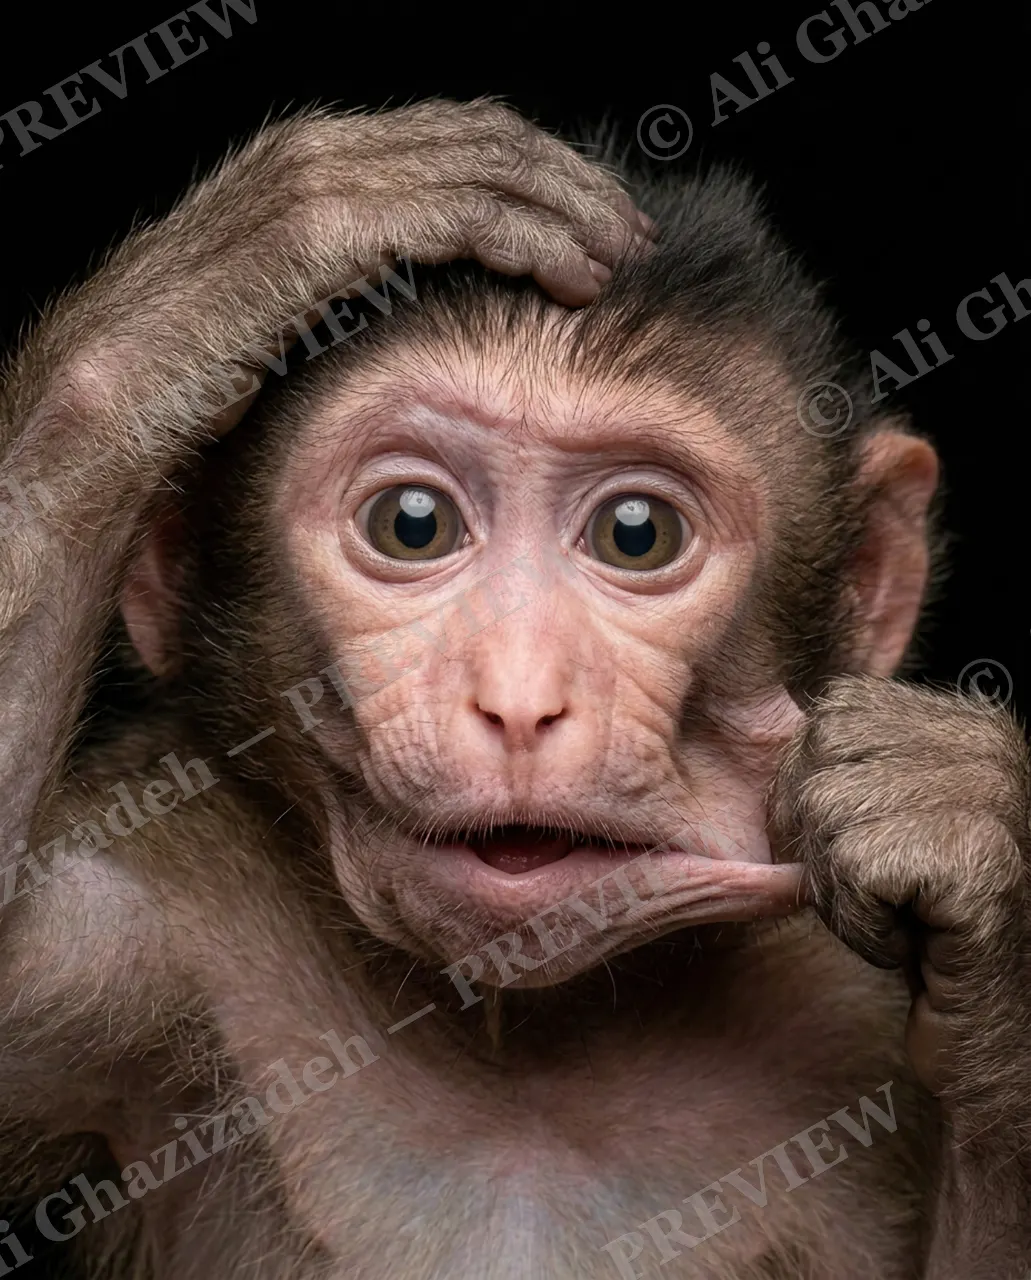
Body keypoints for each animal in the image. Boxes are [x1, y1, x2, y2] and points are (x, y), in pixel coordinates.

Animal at [0, 97, 1027, 1280]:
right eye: (413, 523)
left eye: (637, 533)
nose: (520, 700)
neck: (525, 1043)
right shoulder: (132, 926)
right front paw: (259, 255)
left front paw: (965, 835)